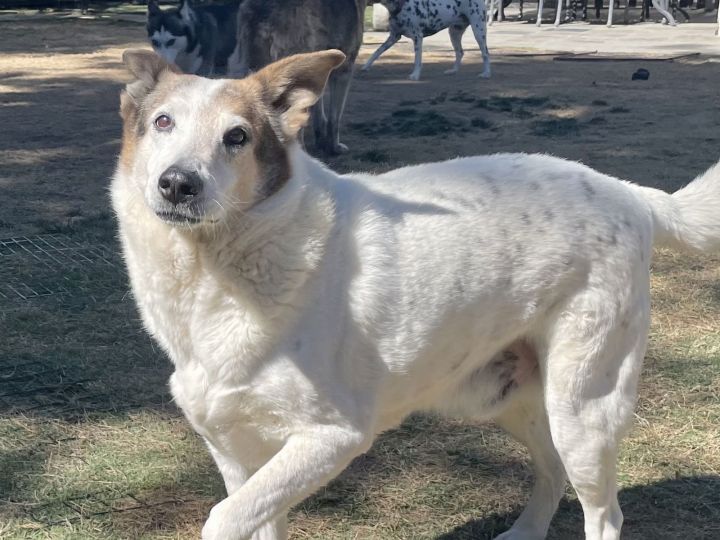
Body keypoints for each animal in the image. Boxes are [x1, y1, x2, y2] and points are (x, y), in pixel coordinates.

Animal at [112, 48, 720, 536]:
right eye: (163, 122)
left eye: (236, 137)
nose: (178, 183)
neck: (213, 272)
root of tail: (629, 192)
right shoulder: (236, 453)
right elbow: (250, 515)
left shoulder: (333, 437)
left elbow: (223, 518)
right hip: (504, 398)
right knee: (550, 470)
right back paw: (523, 532)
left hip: (583, 409)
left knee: (604, 512)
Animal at [362, 0, 492, 80]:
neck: (402, 6)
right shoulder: (393, 37)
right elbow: (377, 52)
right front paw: (366, 66)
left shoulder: (417, 38)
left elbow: (417, 60)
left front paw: (415, 75)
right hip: (454, 33)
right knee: (459, 52)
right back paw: (453, 71)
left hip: (478, 31)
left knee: (485, 53)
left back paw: (486, 73)